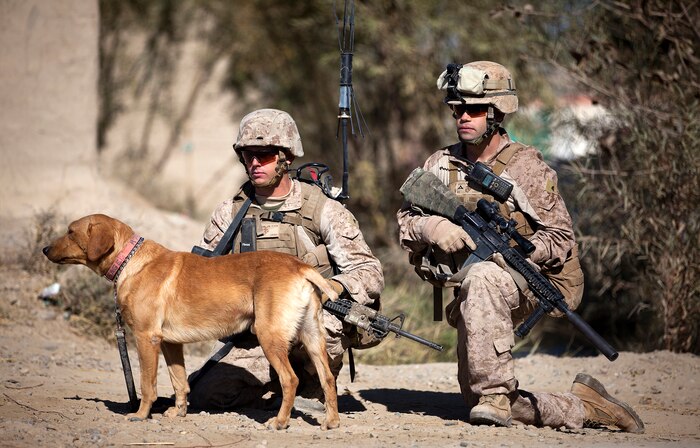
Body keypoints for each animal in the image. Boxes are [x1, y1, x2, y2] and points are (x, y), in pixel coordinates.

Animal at [42, 214, 340, 430]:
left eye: (70, 231)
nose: (44, 248)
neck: (131, 261)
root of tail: (300, 267)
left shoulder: (146, 338)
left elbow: (147, 384)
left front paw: (141, 414)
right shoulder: (171, 344)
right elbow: (179, 381)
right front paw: (180, 411)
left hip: (270, 336)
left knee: (290, 379)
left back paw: (279, 421)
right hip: (312, 338)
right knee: (327, 378)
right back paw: (331, 421)